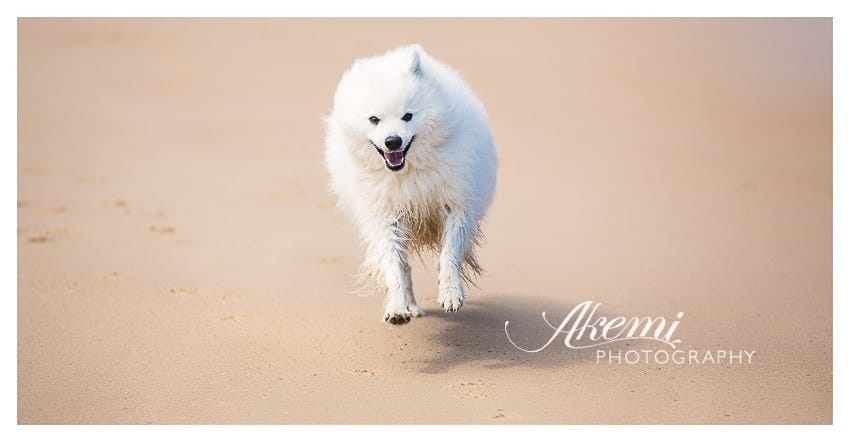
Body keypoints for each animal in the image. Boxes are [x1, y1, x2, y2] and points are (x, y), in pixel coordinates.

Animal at [324, 45, 496, 324]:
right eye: (374, 119)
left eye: (408, 116)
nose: (392, 141)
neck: (407, 173)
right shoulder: (385, 218)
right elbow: (394, 267)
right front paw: (396, 307)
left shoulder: (456, 206)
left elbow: (449, 253)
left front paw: (451, 293)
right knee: (404, 267)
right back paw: (411, 306)